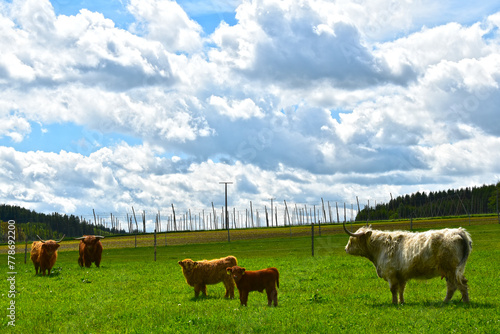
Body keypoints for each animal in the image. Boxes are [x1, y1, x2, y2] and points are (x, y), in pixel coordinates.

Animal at [344, 220, 472, 304]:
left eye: (352, 239)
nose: (345, 248)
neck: (380, 247)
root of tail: (459, 231)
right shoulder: (401, 275)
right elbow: (401, 289)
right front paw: (401, 302)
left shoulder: (391, 274)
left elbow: (393, 290)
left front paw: (394, 303)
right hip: (452, 271)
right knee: (456, 285)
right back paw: (448, 302)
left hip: (451, 270)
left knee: (458, 285)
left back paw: (462, 303)